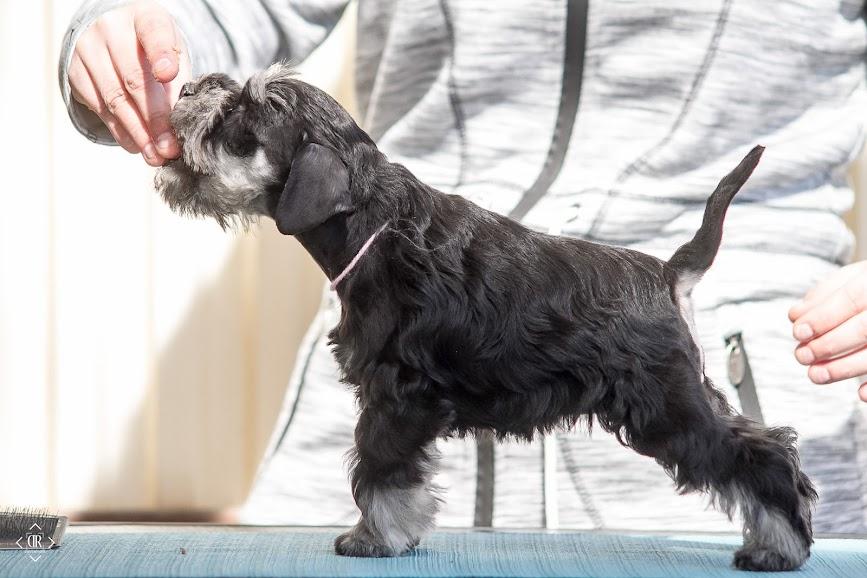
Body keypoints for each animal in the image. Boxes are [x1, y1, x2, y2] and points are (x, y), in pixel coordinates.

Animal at [155, 63, 817, 572]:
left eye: (244, 114)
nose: (185, 89)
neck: (373, 226)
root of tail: (669, 271)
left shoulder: (397, 396)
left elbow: (380, 470)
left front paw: (372, 539)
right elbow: (396, 475)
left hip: (665, 405)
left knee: (762, 453)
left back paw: (778, 548)